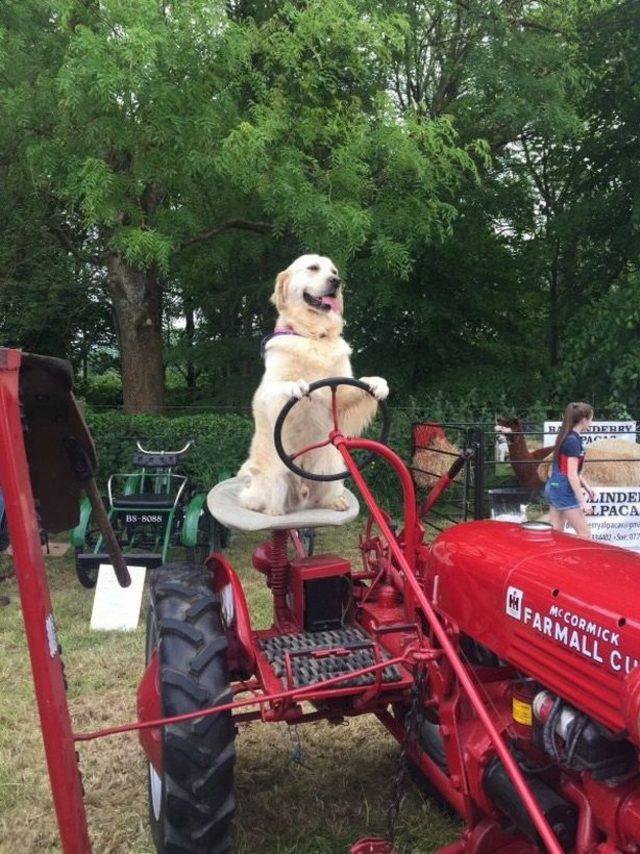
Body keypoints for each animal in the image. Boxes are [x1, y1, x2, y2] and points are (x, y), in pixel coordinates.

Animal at [236, 254, 390, 516]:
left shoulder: (341, 388)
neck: (313, 335)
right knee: (264, 504)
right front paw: (296, 386)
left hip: (333, 470)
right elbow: (281, 386)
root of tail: (302, 489)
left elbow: (358, 385)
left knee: (322, 497)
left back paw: (336, 502)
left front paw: (378, 384)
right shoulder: (267, 392)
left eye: (334, 271)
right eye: (313, 268)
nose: (336, 281)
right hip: (275, 478)